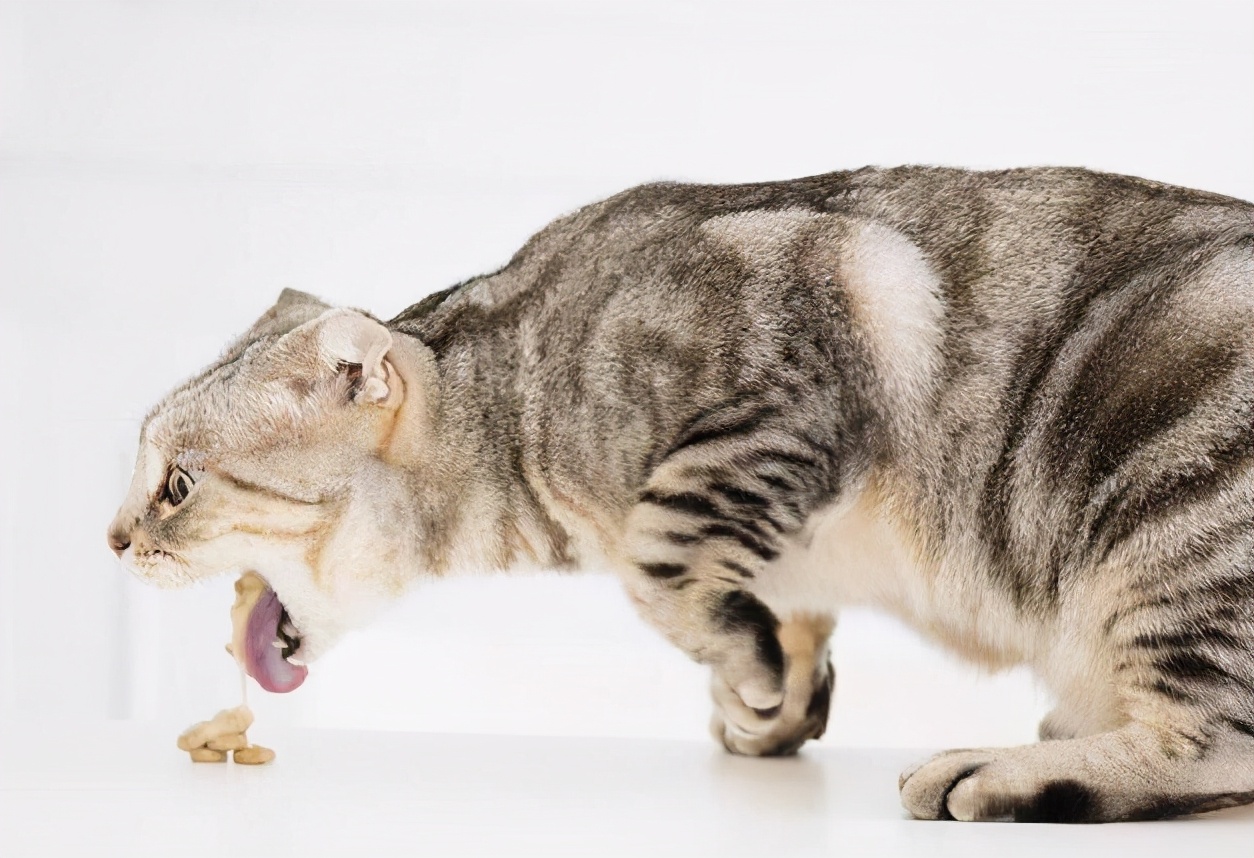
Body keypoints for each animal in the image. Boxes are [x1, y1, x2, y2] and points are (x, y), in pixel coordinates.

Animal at [105, 164, 1254, 822]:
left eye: (175, 484)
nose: (111, 541)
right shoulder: (785, 533)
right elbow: (776, 611)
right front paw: (768, 698)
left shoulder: (774, 394)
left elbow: (661, 561)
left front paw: (748, 669)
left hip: (1174, 506)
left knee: (1212, 745)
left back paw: (999, 770)